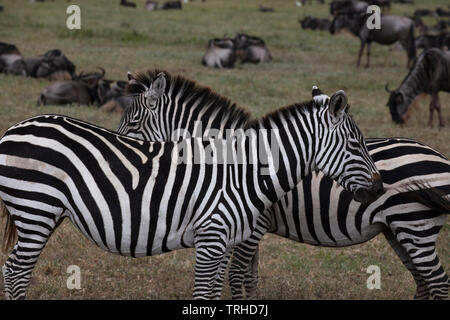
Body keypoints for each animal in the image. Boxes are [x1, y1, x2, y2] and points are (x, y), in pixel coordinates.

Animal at [0, 82, 382, 300]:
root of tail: (15, 128)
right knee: (17, 272)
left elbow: (217, 293)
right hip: (36, 210)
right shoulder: (212, 240)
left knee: (12, 269)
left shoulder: (228, 242)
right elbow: (205, 294)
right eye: (355, 143)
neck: (243, 174)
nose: (379, 187)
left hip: (42, 213)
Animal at [119, 70, 450, 300]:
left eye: (132, 125)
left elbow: (237, 274)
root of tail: (440, 157)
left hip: (413, 226)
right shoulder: (245, 226)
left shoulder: (252, 227)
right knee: (423, 282)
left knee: (438, 281)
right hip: (398, 231)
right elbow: (249, 275)